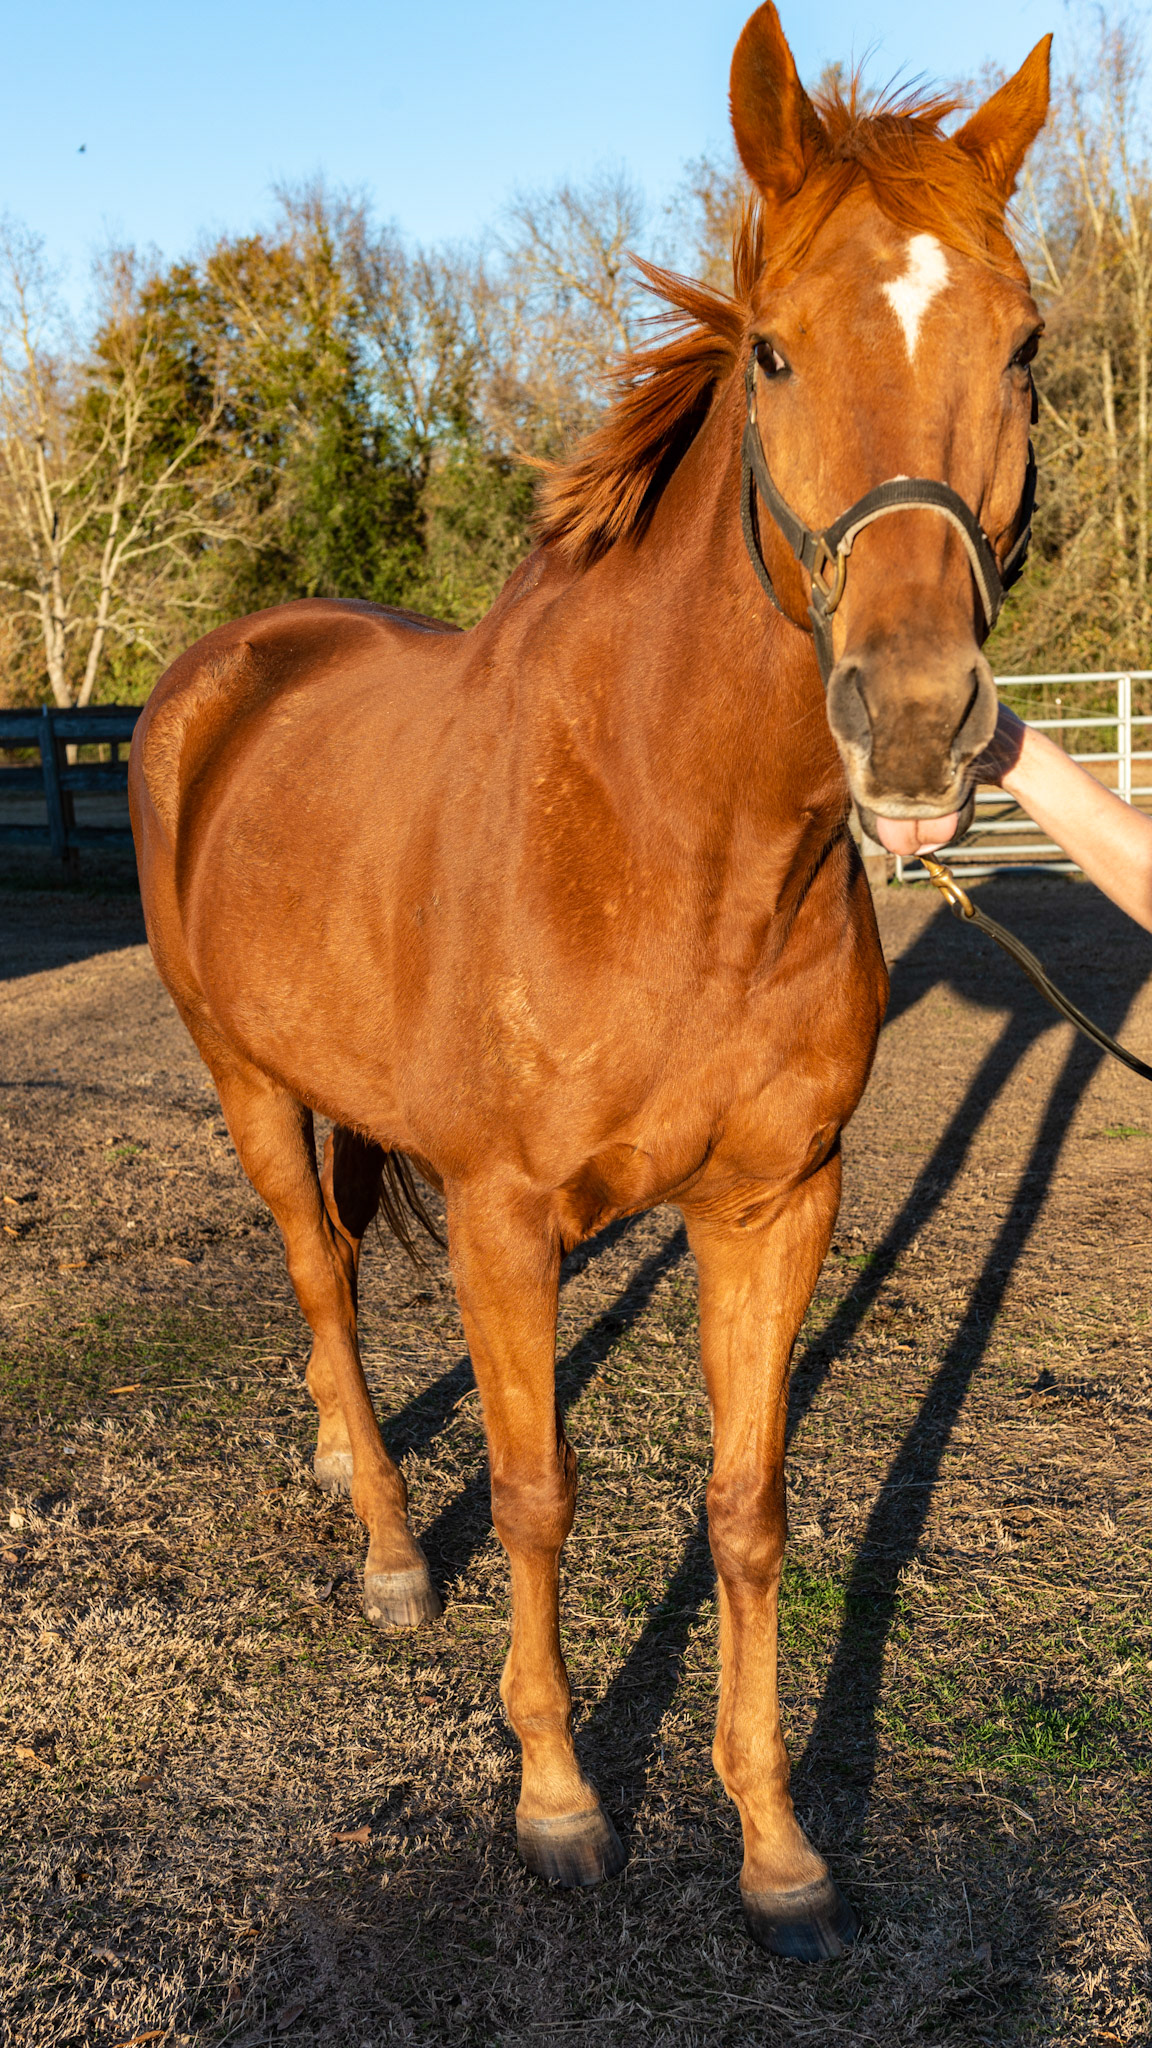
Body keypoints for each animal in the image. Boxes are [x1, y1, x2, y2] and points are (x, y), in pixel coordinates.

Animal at [128, 3, 1050, 1960]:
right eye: (771, 349)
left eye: (1023, 345)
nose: (916, 721)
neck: (663, 842)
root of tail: (227, 665)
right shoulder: (501, 1215)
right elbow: (543, 1493)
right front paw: (557, 1797)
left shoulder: (777, 1201)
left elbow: (748, 1501)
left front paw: (775, 1841)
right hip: (244, 1080)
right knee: (320, 1277)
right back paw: (392, 1550)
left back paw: (345, 1471)